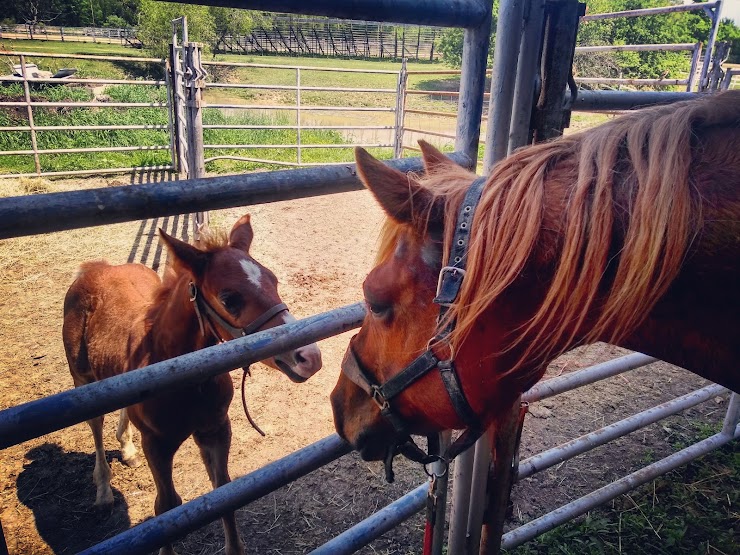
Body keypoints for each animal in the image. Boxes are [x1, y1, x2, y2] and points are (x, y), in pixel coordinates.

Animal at [67, 214, 324, 555]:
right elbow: (166, 506)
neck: (184, 378)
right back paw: (104, 491)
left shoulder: (215, 429)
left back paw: (127, 449)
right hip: (82, 379)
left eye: (274, 281)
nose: (309, 356)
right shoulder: (157, 444)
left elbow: (224, 491)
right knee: (95, 426)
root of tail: (96, 268)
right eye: (229, 299)